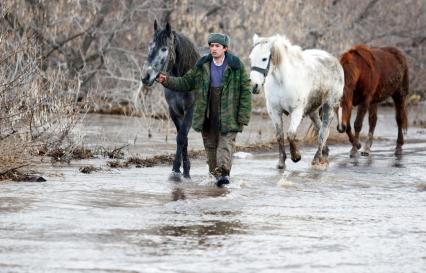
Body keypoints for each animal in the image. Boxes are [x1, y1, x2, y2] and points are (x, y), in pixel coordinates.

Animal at [141, 20, 199, 180]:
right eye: (150, 46)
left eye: (164, 49)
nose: (146, 77)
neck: (183, 79)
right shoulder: (174, 111)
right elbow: (183, 138)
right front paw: (184, 170)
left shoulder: (190, 110)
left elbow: (181, 137)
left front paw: (175, 170)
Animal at [248, 34, 344, 168]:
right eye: (251, 58)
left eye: (264, 58)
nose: (254, 86)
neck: (282, 82)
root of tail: (333, 60)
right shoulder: (274, 112)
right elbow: (280, 136)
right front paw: (281, 162)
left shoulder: (297, 111)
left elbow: (291, 134)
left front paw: (296, 156)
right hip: (313, 111)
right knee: (319, 128)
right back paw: (324, 154)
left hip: (329, 106)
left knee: (323, 132)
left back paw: (316, 158)